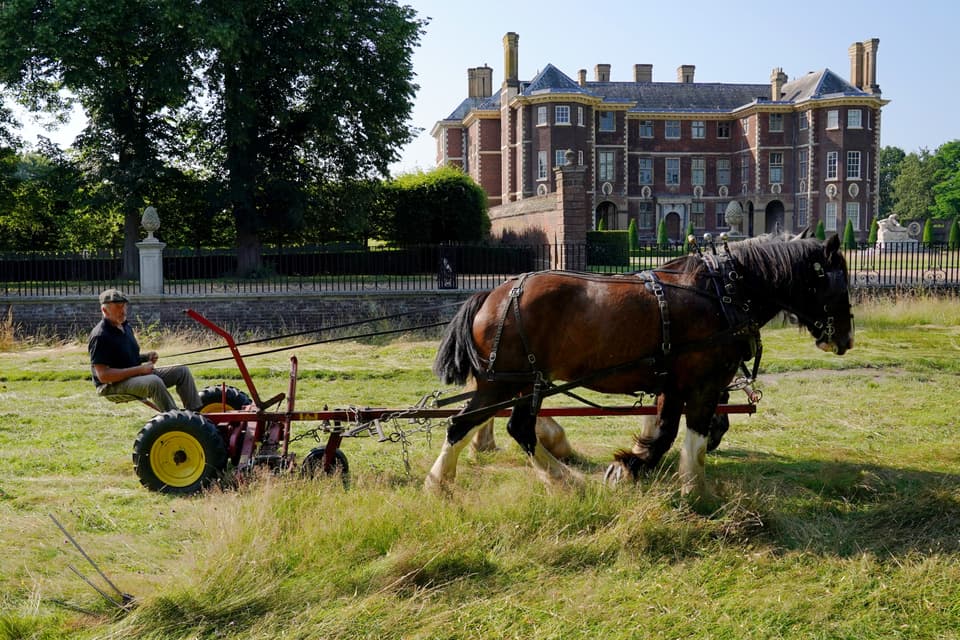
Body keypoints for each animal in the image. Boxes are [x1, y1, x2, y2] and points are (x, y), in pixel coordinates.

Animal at [427, 234, 853, 498]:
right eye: (841, 284)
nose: (846, 339)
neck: (724, 291)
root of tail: (491, 294)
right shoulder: (702, 382)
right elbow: (686, 435)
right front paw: (689, 487)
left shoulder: (673, 383)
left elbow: (668, 429)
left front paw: (636, 465)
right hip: (505, 382)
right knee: (467, 424)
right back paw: (441, 482)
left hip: (525, 382)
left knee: (514, 427)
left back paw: (558, 479)